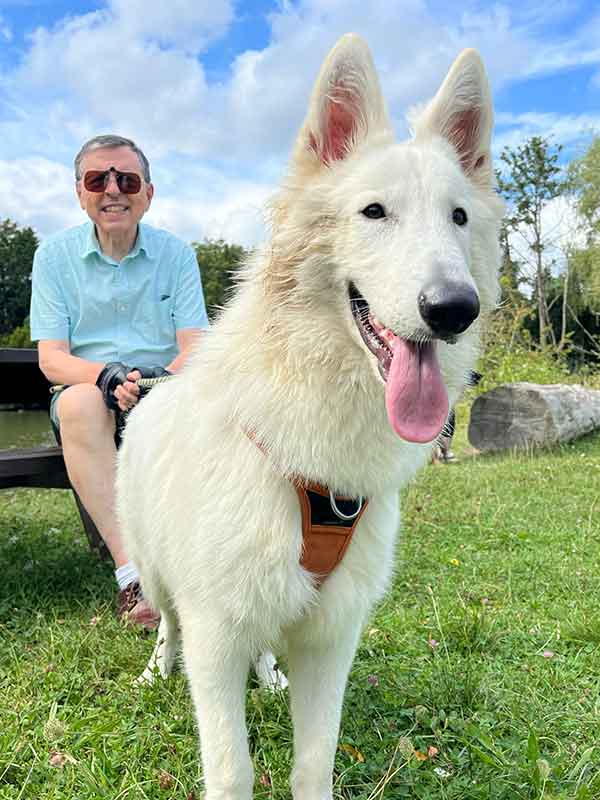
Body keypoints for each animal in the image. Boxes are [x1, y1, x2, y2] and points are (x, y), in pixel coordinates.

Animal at [115, 34, 504, 800]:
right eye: (374, 212)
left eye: (459, 218)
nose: (455, 309)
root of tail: (156, 386)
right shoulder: (214, 631)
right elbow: (231, 767)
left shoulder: (332, 635)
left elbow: (314, 760)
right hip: (157, 572)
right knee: (166, 623)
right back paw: (154, 670)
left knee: (265, 647)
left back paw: (268, 676)